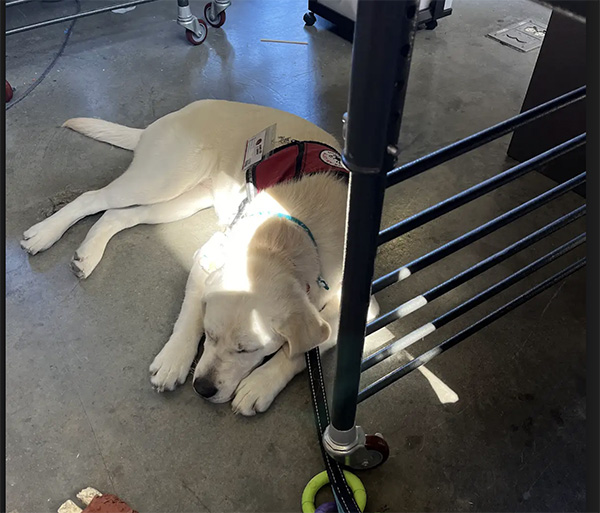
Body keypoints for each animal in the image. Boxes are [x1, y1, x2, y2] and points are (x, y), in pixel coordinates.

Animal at [23, 101, 382, 416]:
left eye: (248, 350)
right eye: (209, 335)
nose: (203, 389)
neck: (284, 236)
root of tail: (171, 116)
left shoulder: (359, 309)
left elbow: (302, 350)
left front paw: (260, 385)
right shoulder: (209, 257)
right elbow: (191, 313)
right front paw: (174, 359)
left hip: (184, 200)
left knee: (117, 215)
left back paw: (88, 254)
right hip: (161, 180)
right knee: (93, 198)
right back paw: (44, 233)